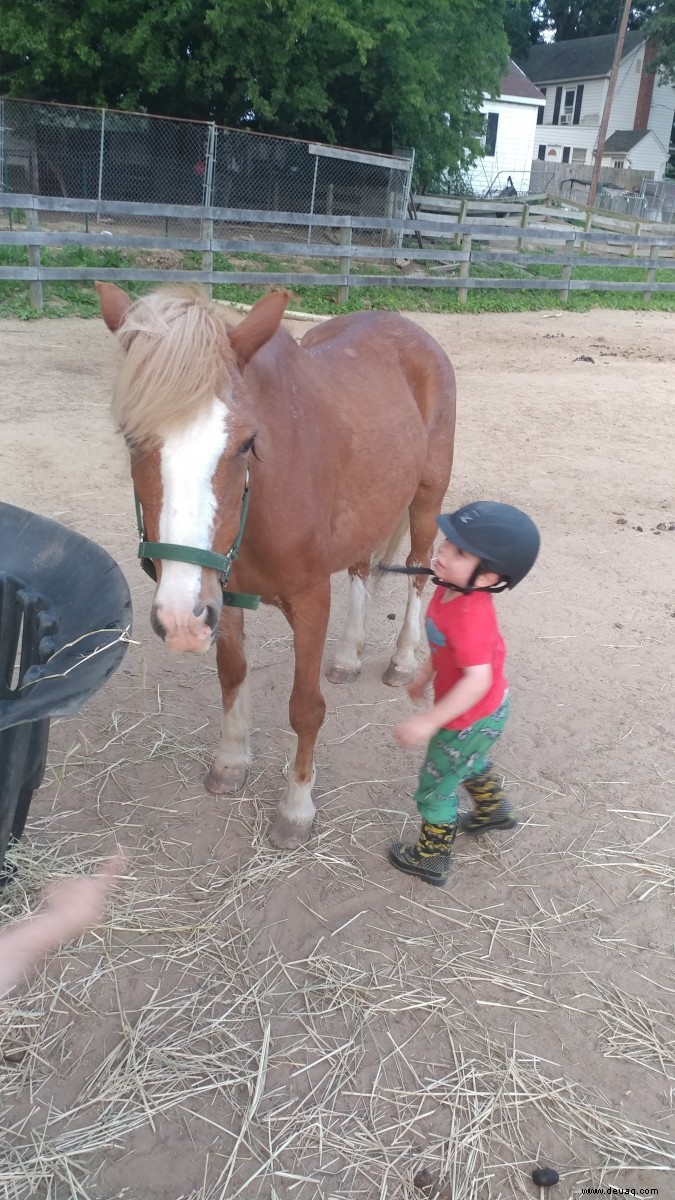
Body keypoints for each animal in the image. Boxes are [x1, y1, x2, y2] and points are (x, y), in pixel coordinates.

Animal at [97, 284, 454, 849]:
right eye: (130, 437)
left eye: (247, 442)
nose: (176, 618)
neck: (259, 501)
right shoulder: (220, 597)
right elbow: (231, 676)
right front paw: (230, 762)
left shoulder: (309, 600)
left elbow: (305, 708)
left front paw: (296, 808)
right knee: (360, 567)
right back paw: (349, 656)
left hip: (426, 495)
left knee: (419, 567)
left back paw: (401, 659)